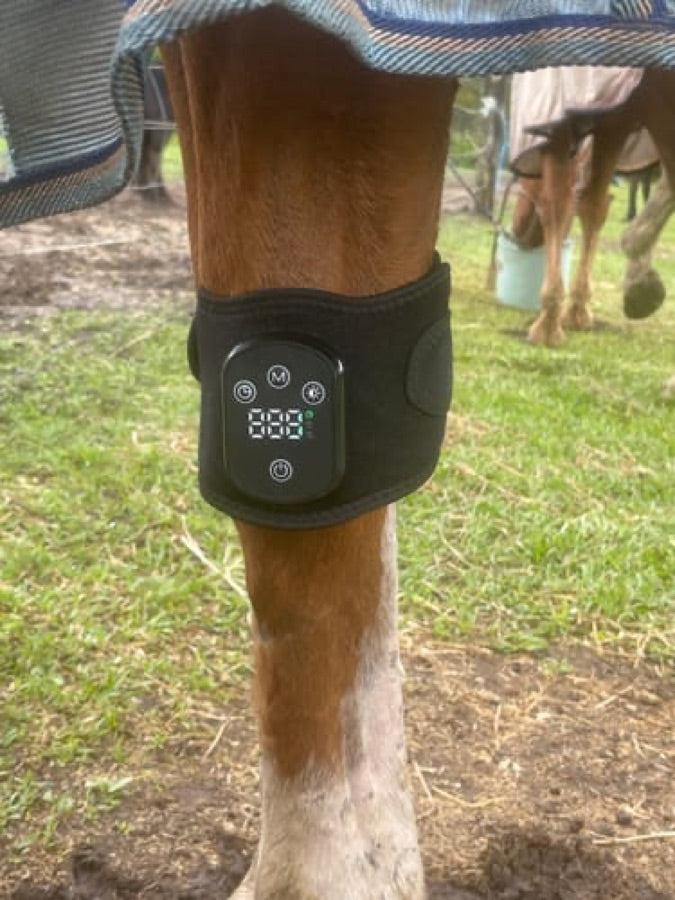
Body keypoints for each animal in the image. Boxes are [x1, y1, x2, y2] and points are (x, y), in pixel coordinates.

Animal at [509, 67, 675, 347]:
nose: (518, 234)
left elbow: (557, 203)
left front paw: (548, 323)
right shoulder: (617, 117)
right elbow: (591, 204)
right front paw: (577, 309)